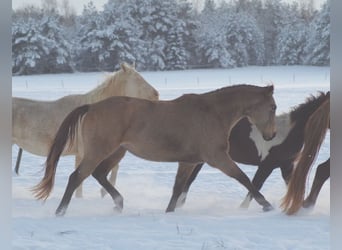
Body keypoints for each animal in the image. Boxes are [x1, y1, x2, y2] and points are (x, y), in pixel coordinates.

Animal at [32, 83, 278, 215]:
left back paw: (119, 204)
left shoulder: (188, 161)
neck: (213, 113)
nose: (271, 135)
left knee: (98, 174)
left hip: (116, 152)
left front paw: (169, 212)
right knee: (77, 177)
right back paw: (60, 212)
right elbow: (244, 178)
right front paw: (267, 205)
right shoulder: (218, 158)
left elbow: (177, 188)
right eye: (273, 107)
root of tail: (91, 107)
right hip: (98, 151)